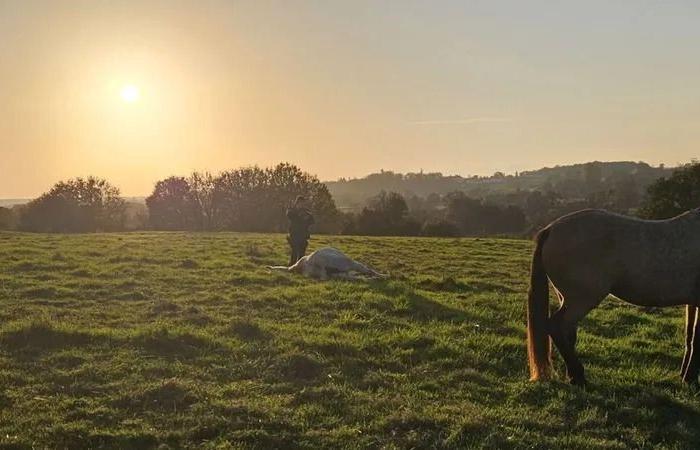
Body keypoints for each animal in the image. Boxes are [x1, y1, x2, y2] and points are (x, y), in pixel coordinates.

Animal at [528, 209, 700, 384]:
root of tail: (550, 229)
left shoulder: (692, 303)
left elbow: (689, 337)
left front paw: (684, 374)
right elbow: (696, 339)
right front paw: (690, 378)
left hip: (567, 298)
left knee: (567, 332)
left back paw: (573, 376)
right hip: (582, 300)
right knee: (557, 326)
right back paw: (579, 375)